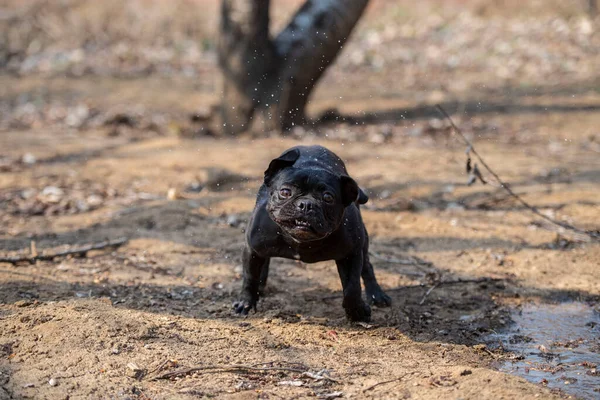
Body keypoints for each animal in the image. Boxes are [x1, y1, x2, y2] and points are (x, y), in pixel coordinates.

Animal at [232, 145, 392, 320]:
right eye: (285, 192)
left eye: (328, 198)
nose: (306, 204)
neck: (301, 242)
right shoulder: (252, 249)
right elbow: (250, 278)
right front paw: (246, 303)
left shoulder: (352, 255)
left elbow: (352, 287)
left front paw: (357, 312)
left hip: (363, 243)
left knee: (367, 267)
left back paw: (377, 295)